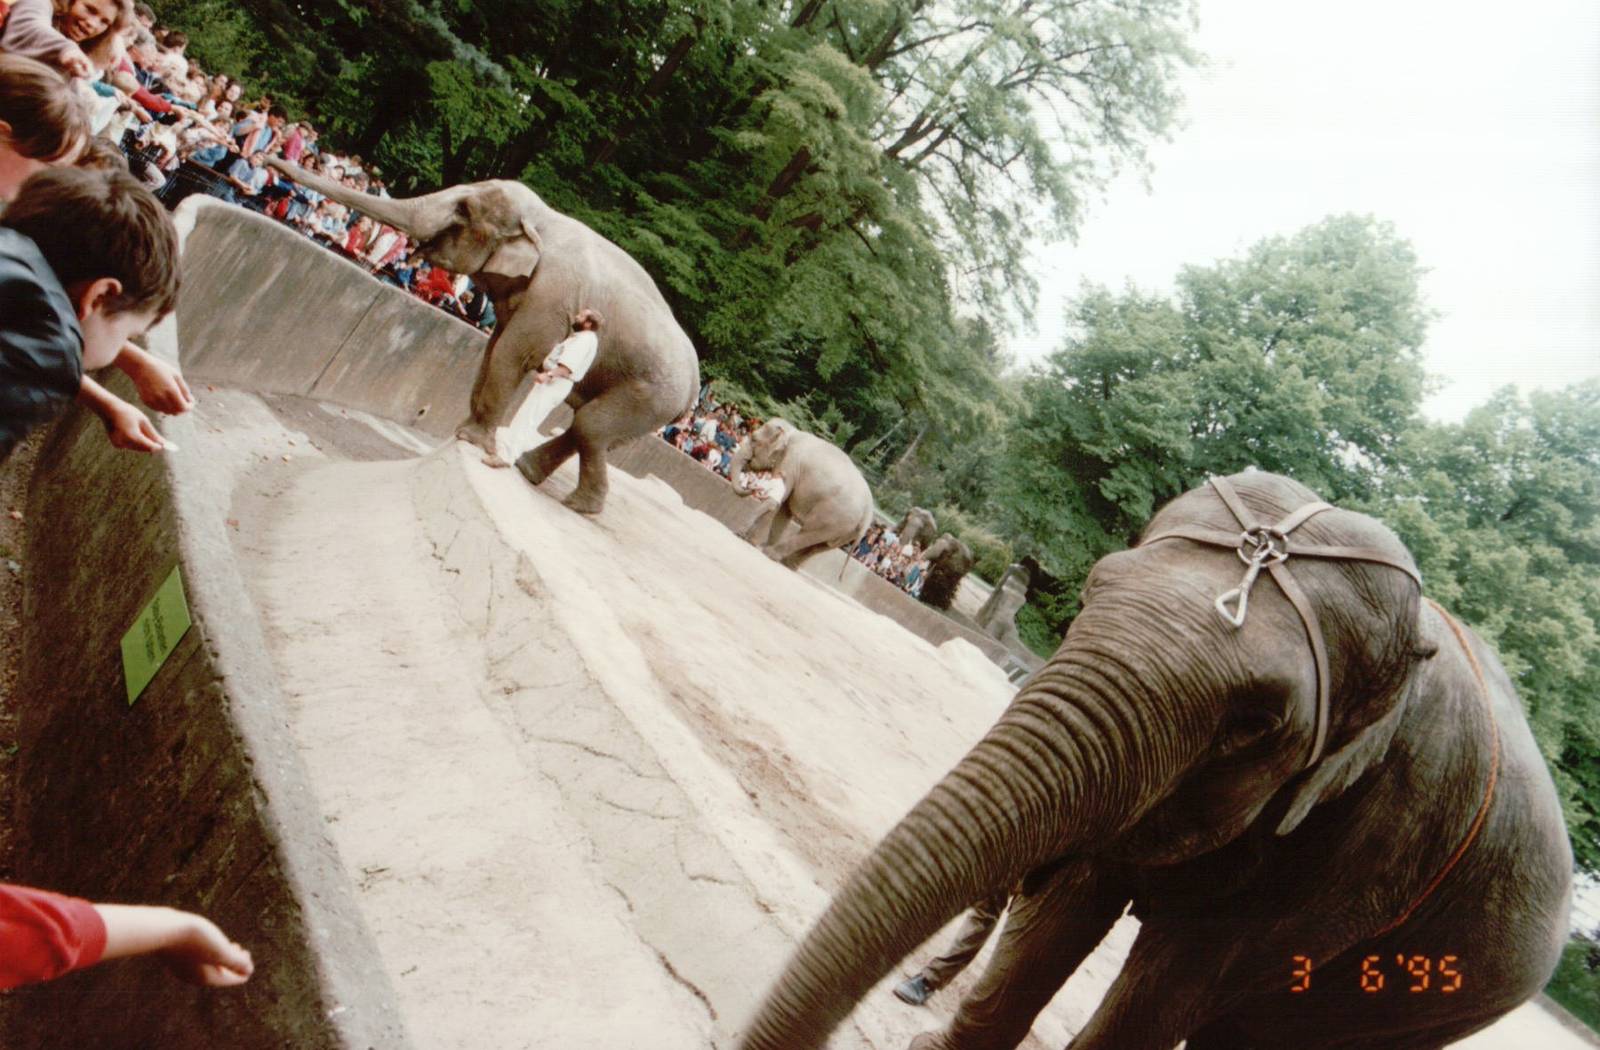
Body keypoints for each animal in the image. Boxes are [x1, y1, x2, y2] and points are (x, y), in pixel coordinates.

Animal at [265, 159, 699, 514]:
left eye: (464, 210)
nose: (270, 161)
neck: (543, 219)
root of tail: (696, 386)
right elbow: (493, 348)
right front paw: (464, 433)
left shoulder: (551, 297)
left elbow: (512, 354)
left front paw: (473, 440)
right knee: (590, 427)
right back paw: (530, 471)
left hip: (652, 394)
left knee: (591, 425)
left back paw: (579, 506)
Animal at [729, 419, 874, 569]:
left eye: (754, 439)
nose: (752, 488)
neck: (791, 431)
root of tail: (868, 515)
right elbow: (784, 512)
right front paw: (753, 541)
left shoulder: (790, 464)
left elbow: (775, 503)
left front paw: (742, 536)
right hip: (846, 531)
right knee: (821, 545)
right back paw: (787, 563)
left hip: (835, 518)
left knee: (808, 533)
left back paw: (771, 554)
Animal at [736, 471, 1571, 1050]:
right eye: (1092, 593)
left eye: (1256, 725)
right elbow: (1067, 907)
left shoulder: (1374, 841)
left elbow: (1173, 980)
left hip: (1433, 1008)